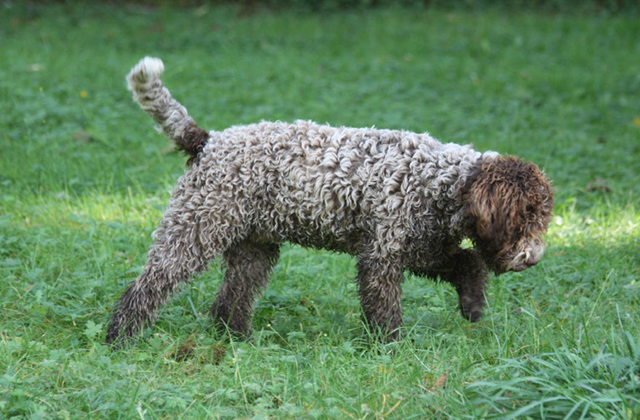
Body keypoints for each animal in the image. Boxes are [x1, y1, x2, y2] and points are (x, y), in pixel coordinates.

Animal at [104, 57, 552, 348]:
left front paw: (472, 304)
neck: (444, 182)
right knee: (148, 286)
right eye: (523, 220)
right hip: (194, 231)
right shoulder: (382, 257)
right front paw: (391, 349)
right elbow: (385, 309)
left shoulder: (422, 247)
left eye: (541, 220)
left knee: (230, 300)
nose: (533, 258)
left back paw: (238, 339)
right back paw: (120, 338)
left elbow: (468, 262)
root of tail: (207, 140)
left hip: (253, 249)